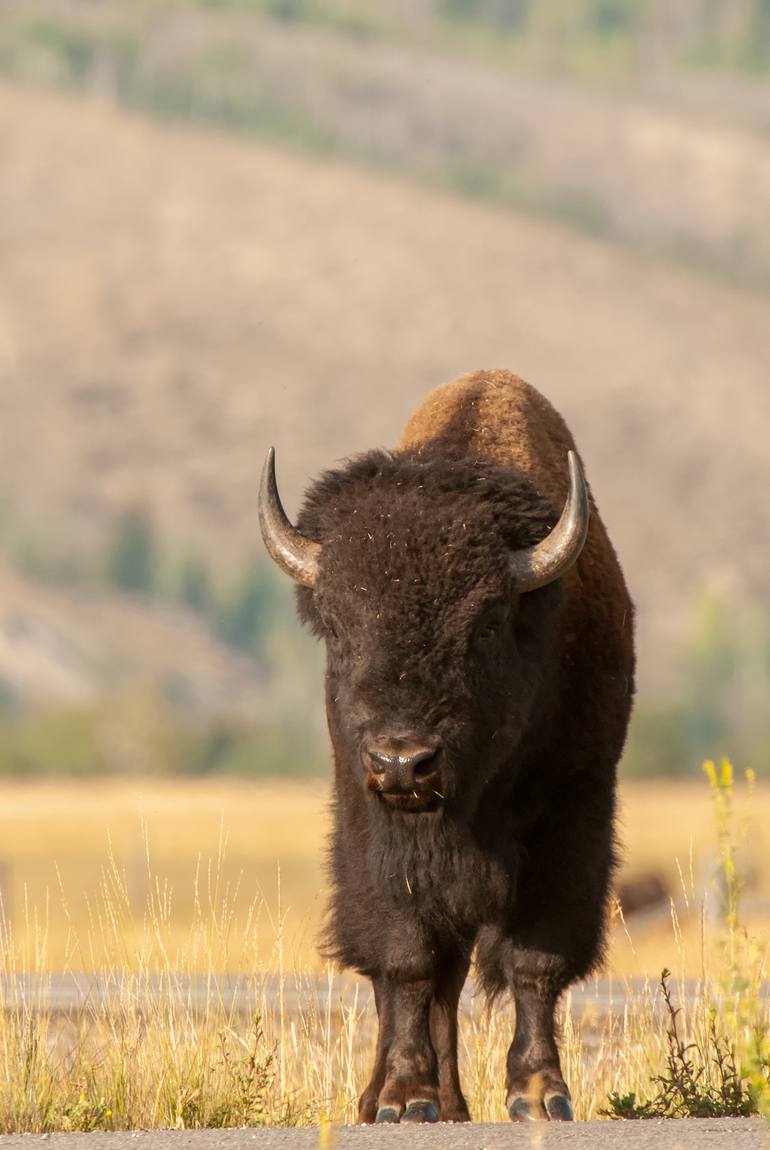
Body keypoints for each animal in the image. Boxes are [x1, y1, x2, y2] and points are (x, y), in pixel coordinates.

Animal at [259, 370, 634, 1122]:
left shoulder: (574, 815)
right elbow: (406, 963)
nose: (403, 762)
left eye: (485, 625)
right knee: (415, 980)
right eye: (337, 628)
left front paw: (540, 1093)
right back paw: (397, 1098)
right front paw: (405, 1098)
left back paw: (456, 1104)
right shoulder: (376, 835)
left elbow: (536, 959)